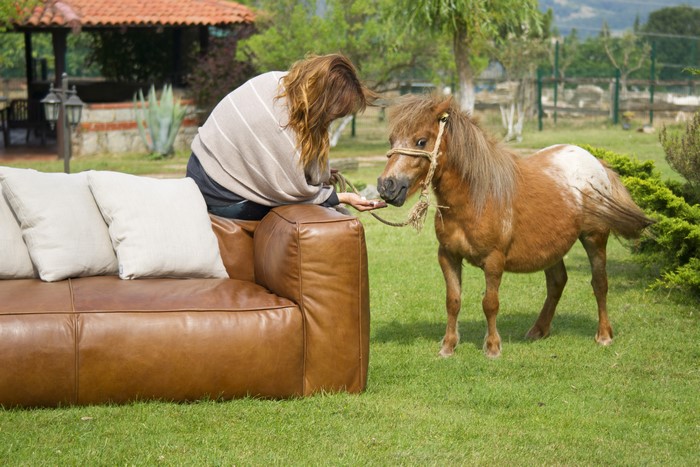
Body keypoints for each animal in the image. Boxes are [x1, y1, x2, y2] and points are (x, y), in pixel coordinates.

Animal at [376, 95, 654, 358]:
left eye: (421, 141)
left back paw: (604, 335)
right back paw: (538, 330)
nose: (387, 186)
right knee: (557, 282)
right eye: (391, 140)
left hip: (594, 238)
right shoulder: (448, 256)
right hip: (552, 245)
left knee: (599, 283)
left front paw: (492, 347)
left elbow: (490, 303)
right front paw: (448, 346)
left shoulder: (493, 260)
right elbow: (453, 301)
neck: (477, 197)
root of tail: (596, 163)